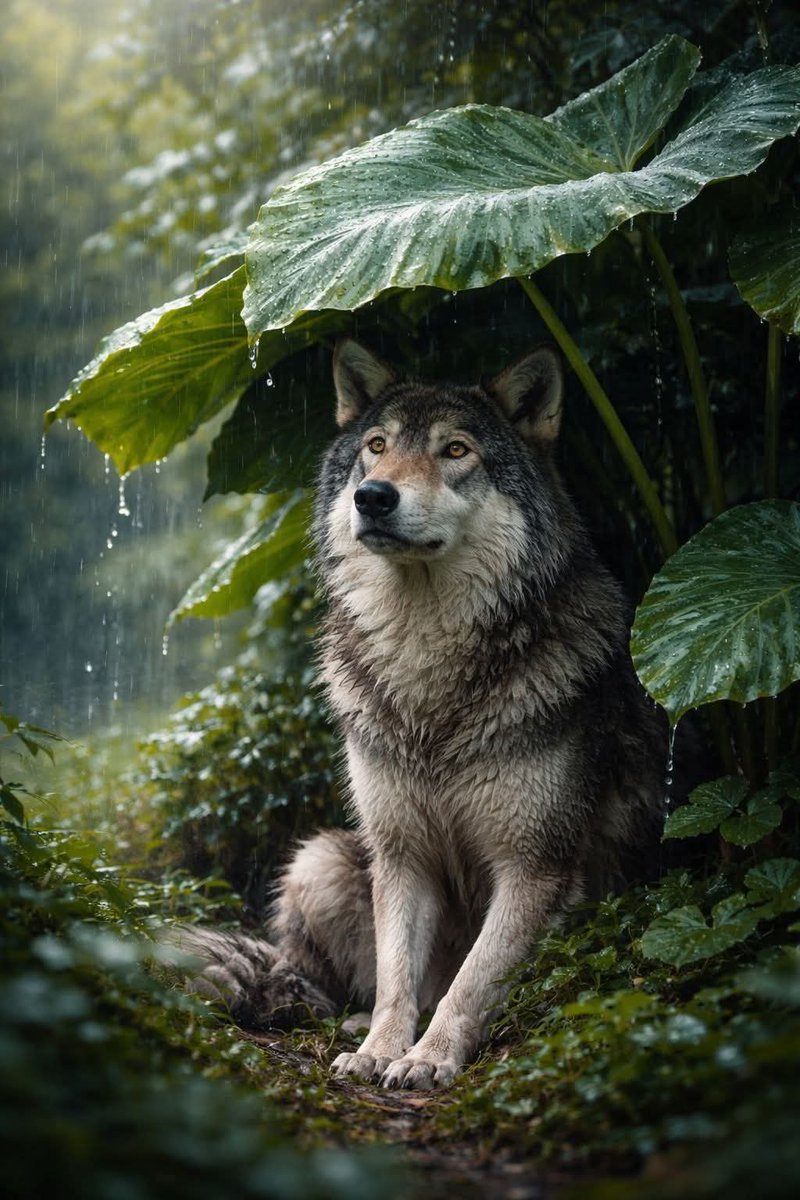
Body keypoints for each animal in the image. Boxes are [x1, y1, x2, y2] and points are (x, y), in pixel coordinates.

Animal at [167, 338, 670, 1090]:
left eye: (455, 449)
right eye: (376, 447)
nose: (372, 496)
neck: (427, 666)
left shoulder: (534, 866)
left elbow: (471, 980)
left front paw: (428, 1059)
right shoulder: (402, 856)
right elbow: (399, 976)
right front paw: (381, 1050)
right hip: (321, 858)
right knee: (341, 984)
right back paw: (351, 1024)